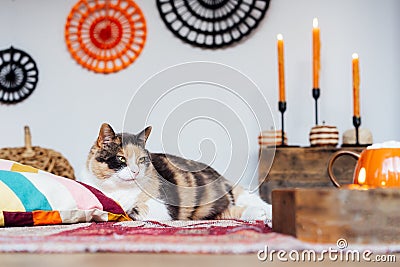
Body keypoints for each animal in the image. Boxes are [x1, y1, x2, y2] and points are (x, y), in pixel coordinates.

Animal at [79, 124, 272, 224]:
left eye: (142, 159)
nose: (136, 171)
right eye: (121, 158)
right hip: (207, 212)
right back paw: (259, 214)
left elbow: (133, 210)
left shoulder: (162, 207)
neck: (117, 191)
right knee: (231, 211)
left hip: (233, 191)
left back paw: (268, 212)